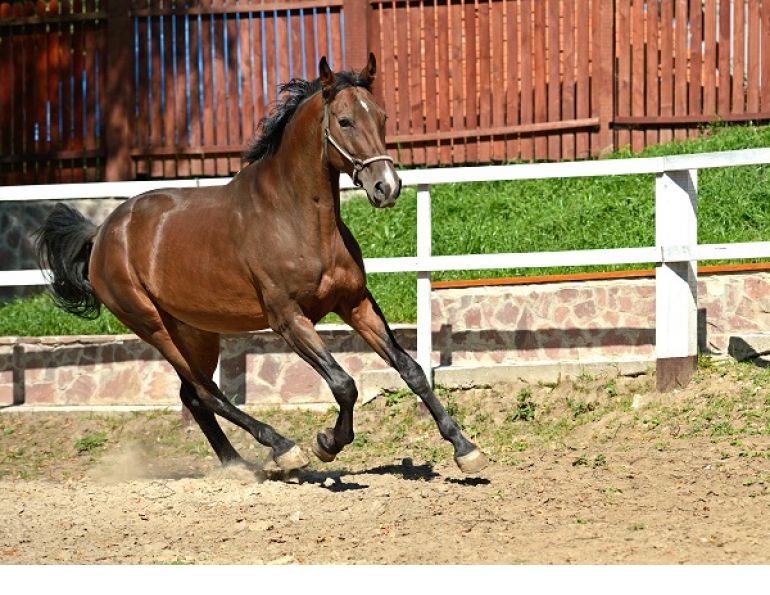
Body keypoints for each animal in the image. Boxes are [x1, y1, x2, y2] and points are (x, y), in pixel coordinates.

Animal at [35, 54, 488, 476]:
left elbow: (411, 370)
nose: (387, 188)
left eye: (382, 117)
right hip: (153, 326)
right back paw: (281, 448)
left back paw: (238, 465)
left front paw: (465, 449)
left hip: (197, 330)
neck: (296, 219)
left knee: (193, 395)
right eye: (344, 121)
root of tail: (103, 233)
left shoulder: (356, 303)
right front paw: (326, 444)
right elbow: (344, 384)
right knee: (206, 391)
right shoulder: (288, 319)